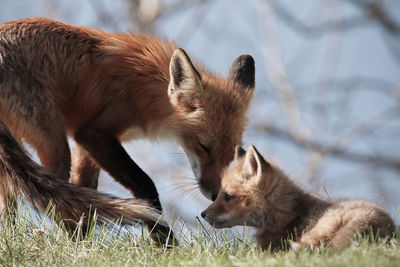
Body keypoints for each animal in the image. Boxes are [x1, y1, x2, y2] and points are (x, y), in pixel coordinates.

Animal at [0, 17, 255, 241]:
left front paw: (86, 248)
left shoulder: (87, 144)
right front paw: (164, 241)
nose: (215, 195)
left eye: (231, 152)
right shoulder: (93, 135)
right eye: (203, 146)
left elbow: (85, 192)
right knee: (53, 199)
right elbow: (143, 183)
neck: (142, 87)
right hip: (53, 143)